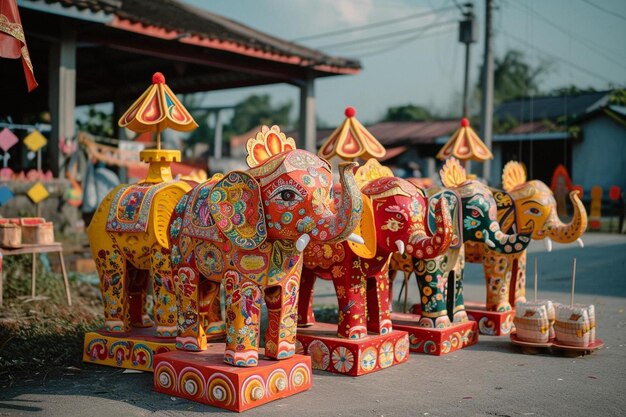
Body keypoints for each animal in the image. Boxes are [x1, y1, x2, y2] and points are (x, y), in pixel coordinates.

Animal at [464, 161, 584, 310]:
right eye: (534, 211)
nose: (576, 191)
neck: (511, 196)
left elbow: (520, 266)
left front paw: (521, 304)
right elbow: (499, 267)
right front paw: (503, 309)